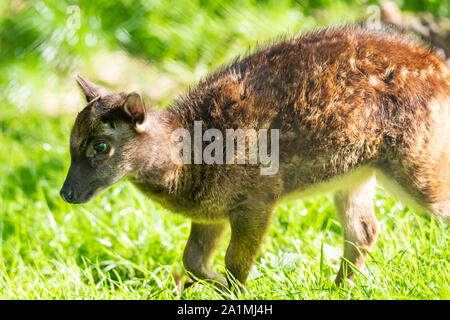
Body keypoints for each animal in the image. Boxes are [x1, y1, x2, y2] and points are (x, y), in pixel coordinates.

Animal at [60, 26, 450, 288]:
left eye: (100, 146)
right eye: (71, 140)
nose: (66, 194)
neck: (188, 165)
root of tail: (442, 70)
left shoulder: (258, 198)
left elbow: (236, 262)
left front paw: (240, 288)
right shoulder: (211, 212)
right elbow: (192, 260)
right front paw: (209, 285)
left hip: (417, 161)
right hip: (355, 175)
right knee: (364, 231)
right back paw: (336, 288)